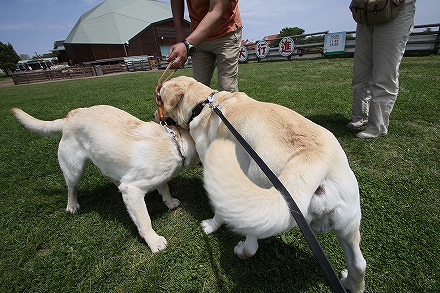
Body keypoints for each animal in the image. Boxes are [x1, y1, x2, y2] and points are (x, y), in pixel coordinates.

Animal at [10, 104, 199, 251]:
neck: (176, 143)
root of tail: (69, 117)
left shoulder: (157, 177)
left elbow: (164, 187)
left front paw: (169, 201)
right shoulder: (133, 189)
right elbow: (144, 220)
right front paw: (154, 241)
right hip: (73, 168)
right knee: (71, 188)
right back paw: (72, 206)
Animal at [157, 76, 368, 292]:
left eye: (159, 98)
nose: (155, 116)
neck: (203, 104)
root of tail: (314, 159)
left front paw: (211, 226)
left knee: (251, 246)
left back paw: (240, 248)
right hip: (348, 223)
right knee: (359, 264)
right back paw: (349, 282)